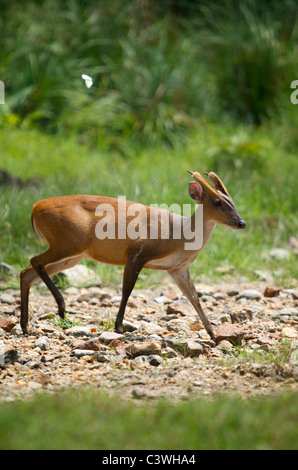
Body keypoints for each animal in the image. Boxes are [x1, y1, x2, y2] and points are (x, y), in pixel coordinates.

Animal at [19, 171, 246, 340]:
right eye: (217, 202)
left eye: (232, 201)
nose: (241, 223)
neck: (179, 235)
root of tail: (35, 207)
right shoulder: (137, 252)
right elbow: (127, 290)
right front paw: (118, 327)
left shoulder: (178, 269)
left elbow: (195, 298)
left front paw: (213, 334)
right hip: (67, 244)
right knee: (34, 262)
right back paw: (60, 308)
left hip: (72, 255)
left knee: (27, 272)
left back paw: (26, 326)